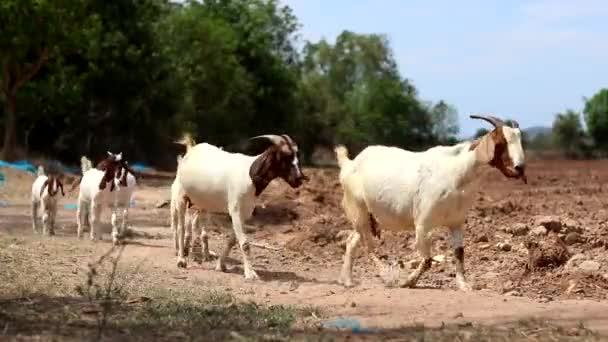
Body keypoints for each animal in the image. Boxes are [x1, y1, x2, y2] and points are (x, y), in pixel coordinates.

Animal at [171, 132, 306, 280]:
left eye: (297, 155)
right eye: (285, 156)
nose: (299, 179)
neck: (250, 174)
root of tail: (191, 150)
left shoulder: (245, 213)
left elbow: (232, 241)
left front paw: (221, 265)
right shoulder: (235, 210)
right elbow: (245, 244)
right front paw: (250, 274)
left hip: (201, 203)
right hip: (181, 197)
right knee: (181, 228)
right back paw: (181, 260)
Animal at [334, 114, 524, 288]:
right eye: (501, 142)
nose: (520, 168)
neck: (458, 173)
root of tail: (349, 163)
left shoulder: (456, 222)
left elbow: (459, 253)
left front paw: (463, 285)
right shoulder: (423, 224)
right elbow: (427, 260)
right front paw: (407, 281)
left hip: (367, 217)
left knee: (352, 241)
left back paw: (347, 281)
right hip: (358, 210)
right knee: (368, 247)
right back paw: (386, 275)